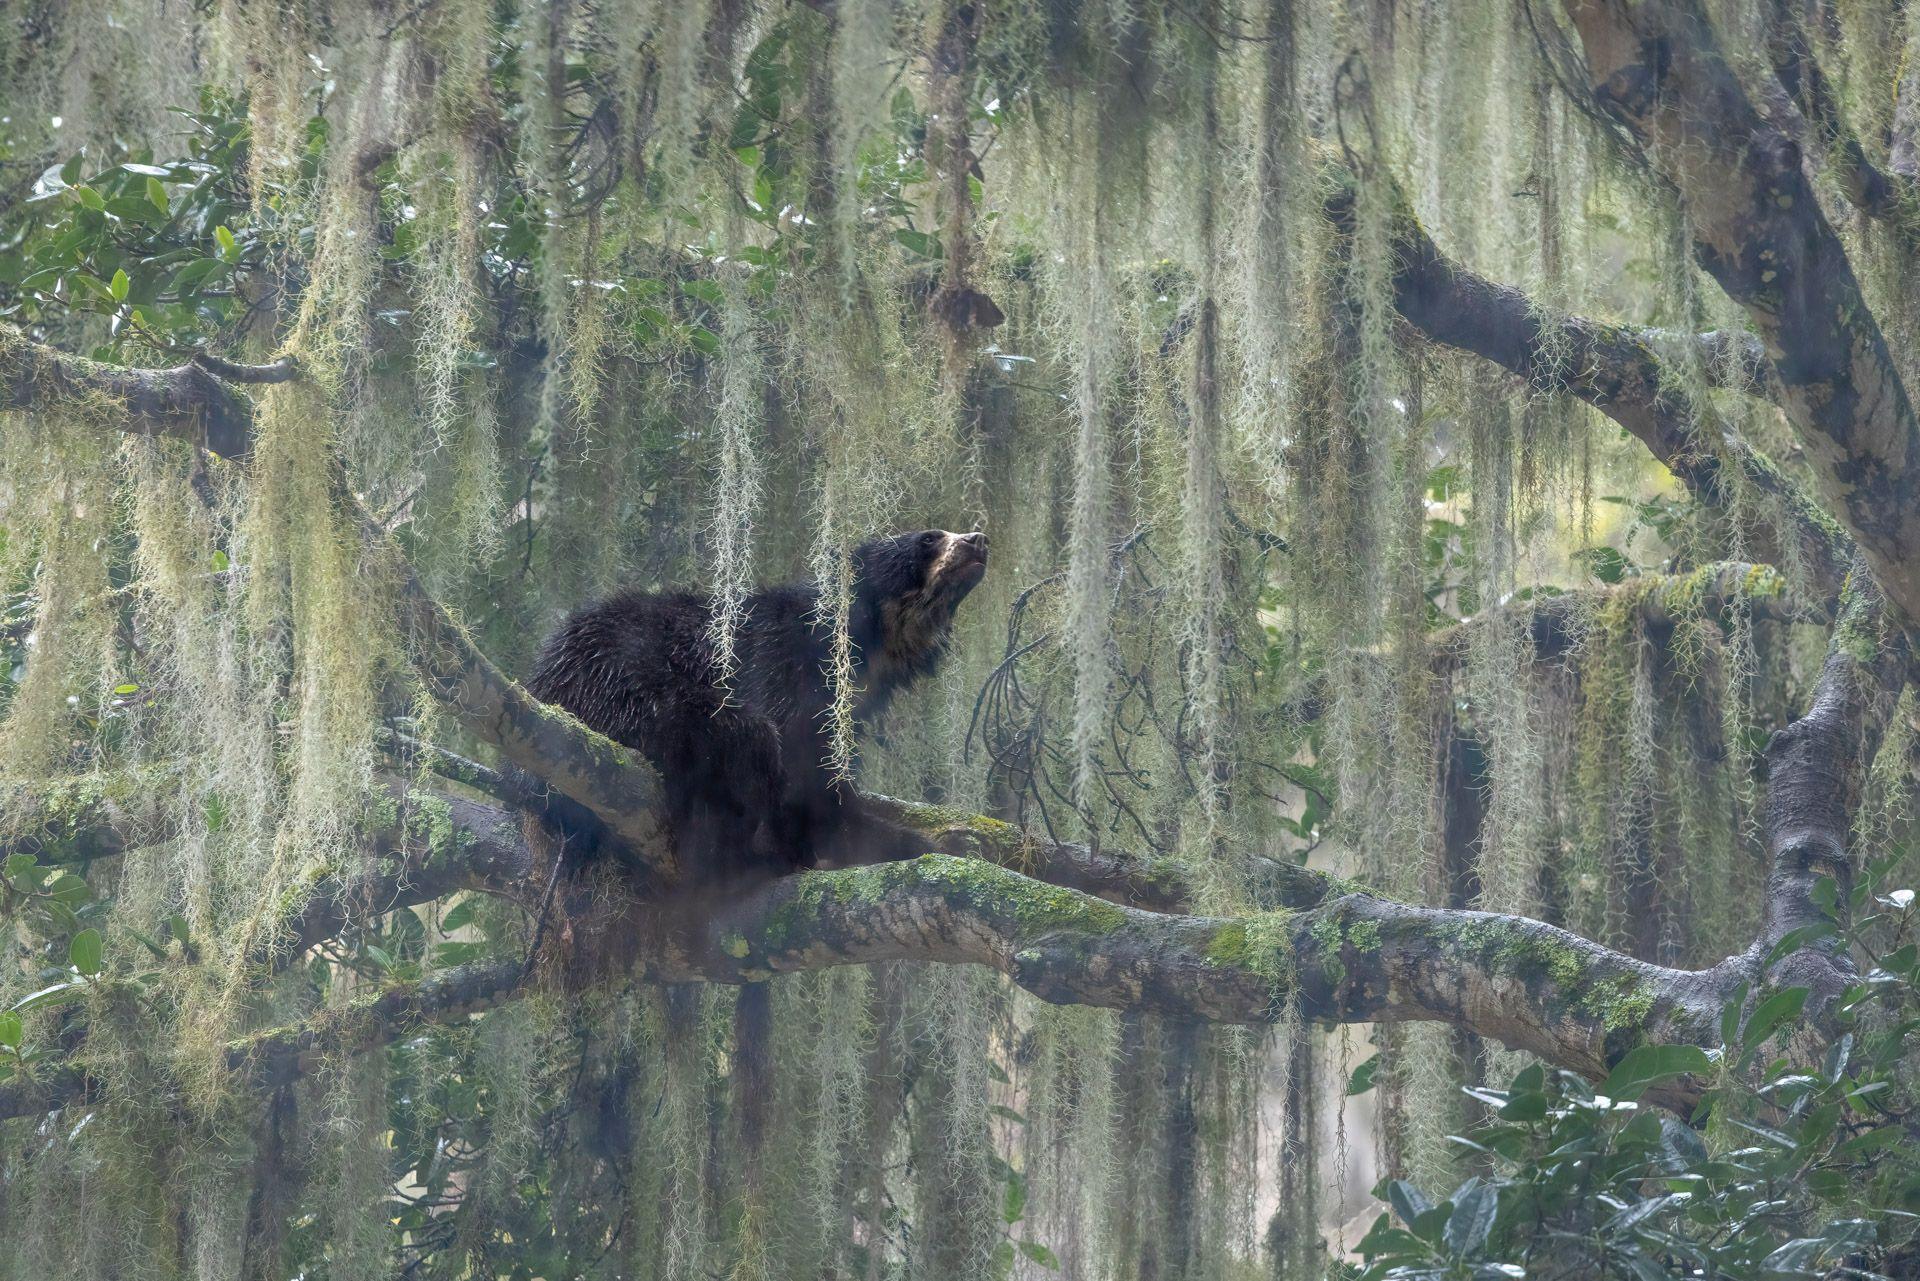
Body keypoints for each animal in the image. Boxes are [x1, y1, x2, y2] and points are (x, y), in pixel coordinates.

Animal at [526, 530, 990, 883]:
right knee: (742, 737)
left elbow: (827, 784)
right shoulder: (779, 664)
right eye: (928, 539)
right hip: (621, 685)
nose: (978, 540)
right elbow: (801, 782)